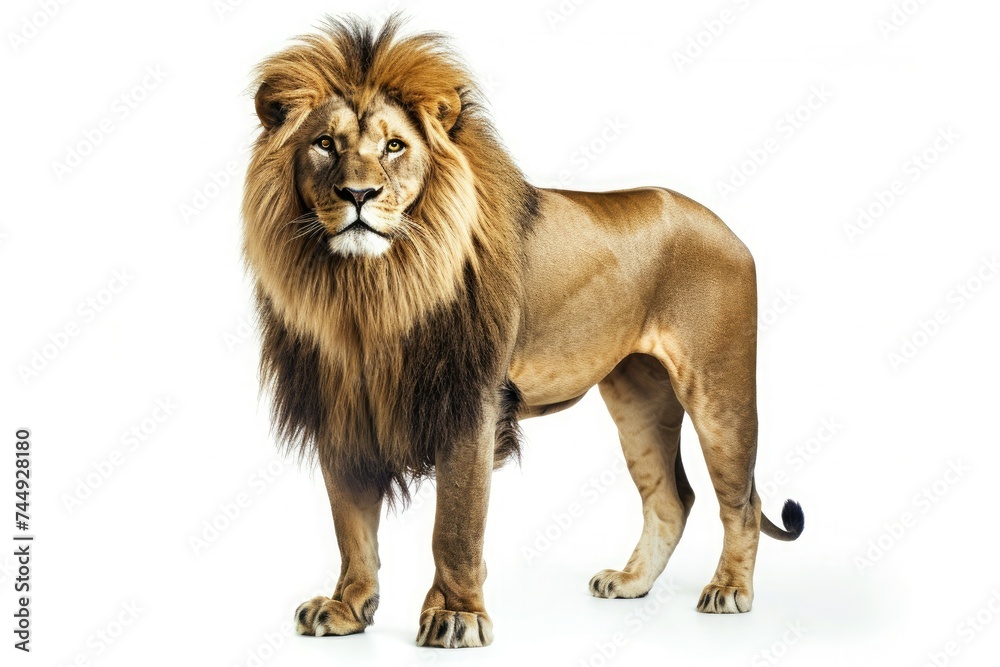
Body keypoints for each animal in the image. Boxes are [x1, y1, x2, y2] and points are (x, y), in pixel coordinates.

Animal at [242, 15, 804, 648]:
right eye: (324, 144)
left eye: (394, 146)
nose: (358, 195)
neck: (369, 291)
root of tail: (728, 228)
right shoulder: (341, 407)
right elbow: (351, 525)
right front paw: (346, 608)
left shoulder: (471, 402)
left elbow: (456, 525)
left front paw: (456, 616)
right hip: (638, 394)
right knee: (671, 496)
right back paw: (629, 583)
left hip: (719, 388)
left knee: (742, 500)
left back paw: (729, 590)